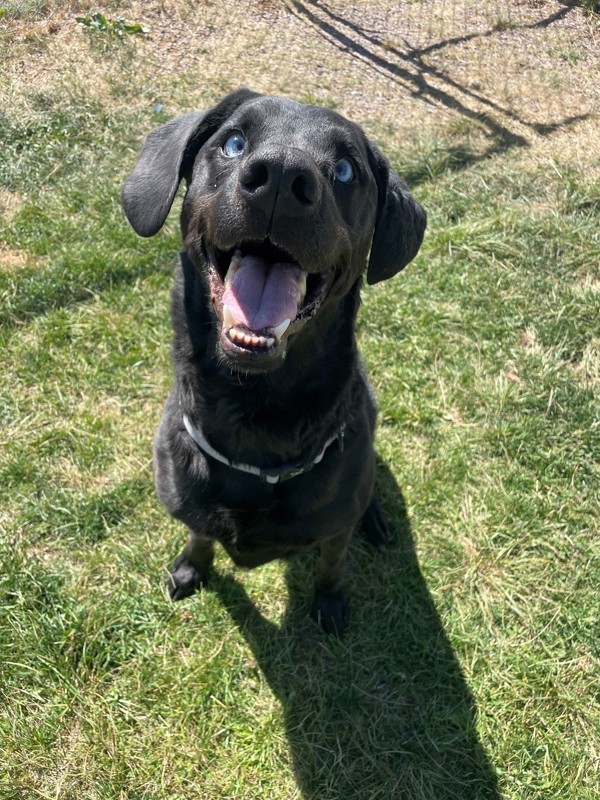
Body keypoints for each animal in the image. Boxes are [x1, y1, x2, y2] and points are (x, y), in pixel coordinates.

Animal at [119, 90, 424, 636]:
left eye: (345, 169)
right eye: (234, 142)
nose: (281, 174)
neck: (255, 422)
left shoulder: (333, 529)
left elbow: (331, 563)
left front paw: (330, 603)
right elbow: (199, 534)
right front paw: (191, 566)